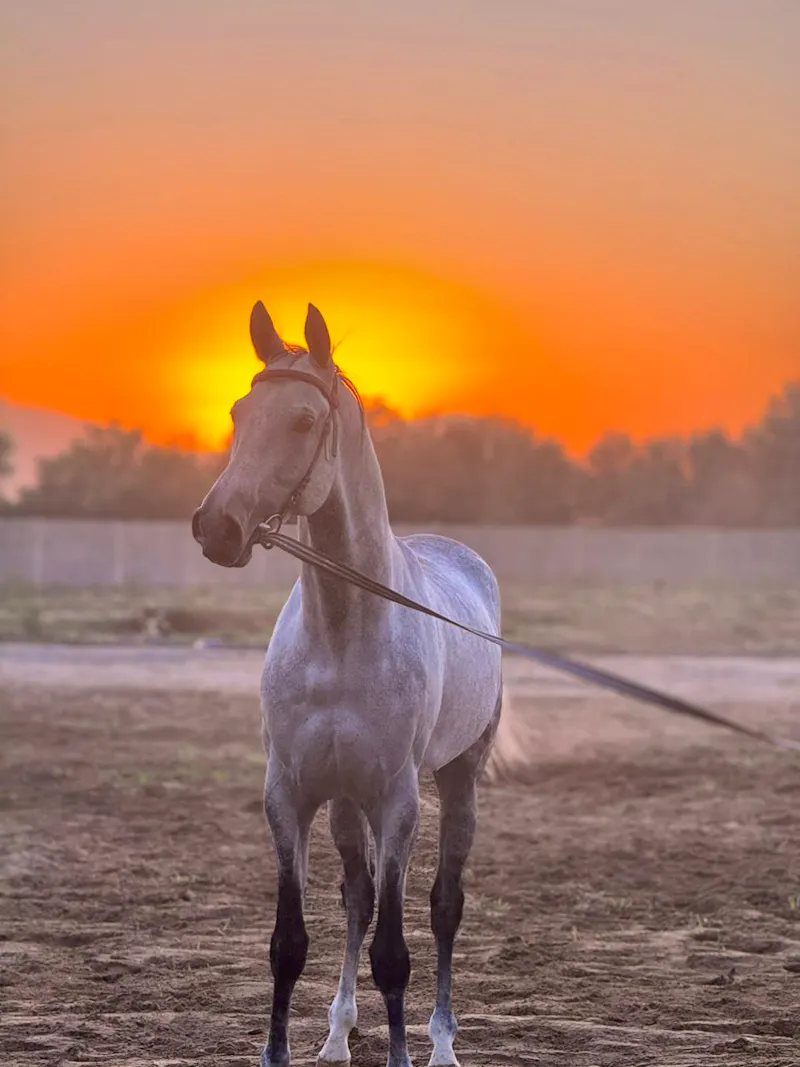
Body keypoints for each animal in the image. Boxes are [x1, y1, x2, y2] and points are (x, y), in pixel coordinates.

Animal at [192, 301, 524, 1067]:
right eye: (238, 411)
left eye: (303, 421)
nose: (216, 527)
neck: (343, 634)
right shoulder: (288, 794)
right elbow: (290, 943)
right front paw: (280, 1051)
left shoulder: (398, 801)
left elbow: (394, 953)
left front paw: (406, 1051)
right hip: (345, 802)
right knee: (357, 896)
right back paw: (339, 1034)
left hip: (456, 780)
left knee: (443, 905)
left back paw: (441, 1044)